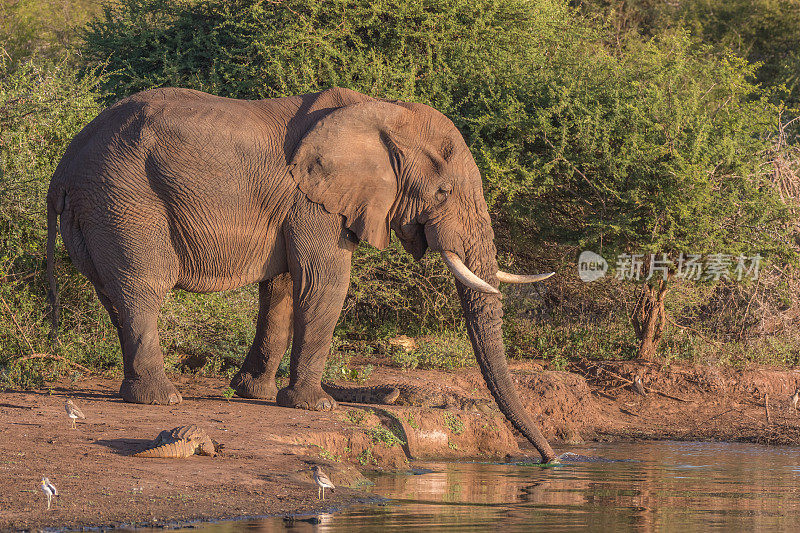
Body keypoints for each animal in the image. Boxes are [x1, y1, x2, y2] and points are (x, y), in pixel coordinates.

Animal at [43, 85, 556, 460]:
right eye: (444, 192)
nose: (550, 459)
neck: (380, 111)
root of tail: (63, 167)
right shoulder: (313, 201)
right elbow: (324, 281)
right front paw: (316, 405)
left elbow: (284, 287)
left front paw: (254, 393)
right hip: (123, 198)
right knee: (143, 287)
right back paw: (162, 400)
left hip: (96, 209)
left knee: (113, 294)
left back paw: (139, 392)